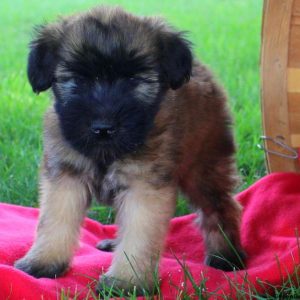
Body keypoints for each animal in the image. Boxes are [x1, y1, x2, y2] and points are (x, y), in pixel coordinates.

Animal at [14, 5, 244, 294]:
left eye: (133, 79)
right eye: (79, 79)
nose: (103, 128)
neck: (106, 153)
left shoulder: (144, 186)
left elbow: (140, 236)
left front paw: (127, 281)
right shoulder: (66, 177)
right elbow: (54, 222)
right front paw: (44, 261)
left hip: (204, 169)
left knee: (222, 209)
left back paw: (226, 256)